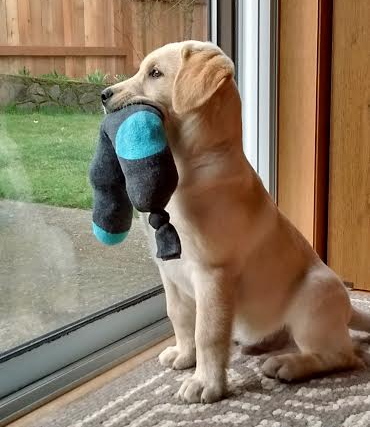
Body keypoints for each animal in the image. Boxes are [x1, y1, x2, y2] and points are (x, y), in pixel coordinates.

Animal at [102, 41, 370, 404]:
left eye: (155, 73)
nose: (103, 95)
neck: (190, 167)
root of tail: (347, 309)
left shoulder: (213, 275)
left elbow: (208, 334)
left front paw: (206, 383)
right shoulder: (169, 272)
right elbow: (180, 317)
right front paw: (184, 356)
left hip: (312, 298)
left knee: (344, 355)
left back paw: (289, 364)